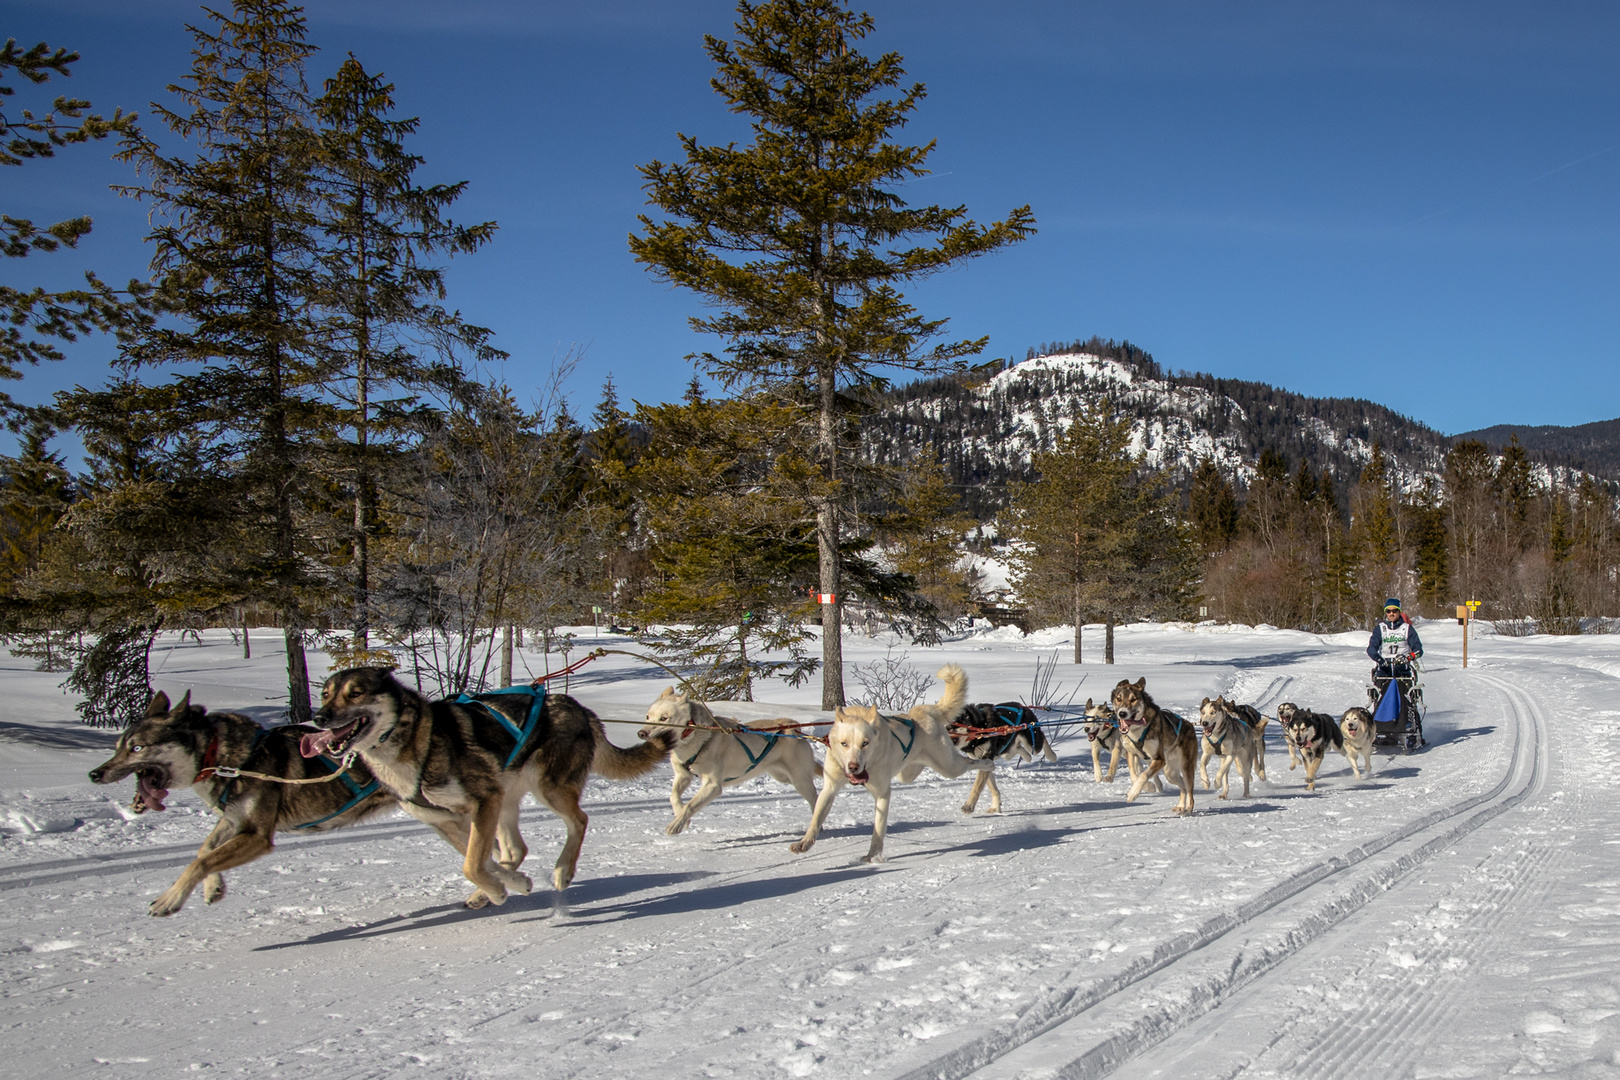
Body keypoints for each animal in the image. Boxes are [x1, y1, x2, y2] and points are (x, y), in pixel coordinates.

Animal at [89, 696, 398, 919]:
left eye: (137, 748)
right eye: (117, 747)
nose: (94, 774)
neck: (222, 758)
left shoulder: (256, 836)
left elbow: (199, 862)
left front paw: (169, 899)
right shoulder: (235, 820)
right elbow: (205, 851)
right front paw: (213, 886)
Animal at [309, 667, 670, 906]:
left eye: (355, 693)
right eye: (326, 694)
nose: (319, 717)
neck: (416, 742)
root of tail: (580, 708)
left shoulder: (482, 802)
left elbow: (472, 863)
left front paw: (498, 889)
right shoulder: (449, 820)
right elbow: (480, 859)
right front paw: (509, 885)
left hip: (546, 788)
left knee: (578, 821)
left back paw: (561, 871)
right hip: (506, 800)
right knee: (515, 849)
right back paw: (490, 890)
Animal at [635, 683, 816, 835]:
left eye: (664, 718)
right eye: (648, 716)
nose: (642, 733)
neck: (694, 739)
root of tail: (795, 729)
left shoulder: (712, 785)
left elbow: (690, 805)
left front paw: (676, 824)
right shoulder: (683, 776)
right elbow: (674, 797)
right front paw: (681, 817)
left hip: (799, 780)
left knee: (815, 799)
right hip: (782, 777)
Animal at [790, 663, 991, 867]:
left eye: (865, 743)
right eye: (844, 743)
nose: (853, 766)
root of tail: (921, 712)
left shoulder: (882, 793)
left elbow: (878, 829)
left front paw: (873, 855)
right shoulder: (829, 788)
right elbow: (816, 817)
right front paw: (804, 842)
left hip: (949, 767)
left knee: (970, 762)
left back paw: (988, 765)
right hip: (907, 774)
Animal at [1108, 680, 1198, 816]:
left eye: (1133, 699)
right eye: (1119, 698)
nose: (1122, 713)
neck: (1138, 730)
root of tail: (1191, 726)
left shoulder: (1159, 759)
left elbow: (1144, 775)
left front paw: (1134, 793)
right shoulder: (1131, 752)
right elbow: (1134, 775)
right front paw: (1147, 787)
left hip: (1185, 767)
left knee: (1189, 790)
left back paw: (1188, 809)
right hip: (1169, 772)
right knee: (1183, 786)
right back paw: (1181, 805)